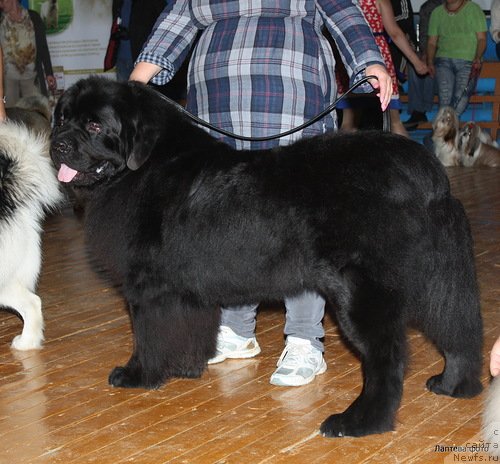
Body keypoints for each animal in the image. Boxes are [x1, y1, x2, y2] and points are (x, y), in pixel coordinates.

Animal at [49, 77, 480, 438]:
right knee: (456, 332)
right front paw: (186, 369)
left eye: (94, 126)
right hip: (435, 280)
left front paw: (139, 375)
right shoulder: (183, 288)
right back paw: (452, 385)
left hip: (362, 293)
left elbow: (148, 335)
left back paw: (358, 422)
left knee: (386, 360)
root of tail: (425, 171)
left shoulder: (148, 286)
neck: (146, 166)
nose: (58, 144)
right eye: (63, 118)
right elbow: (185, 328)